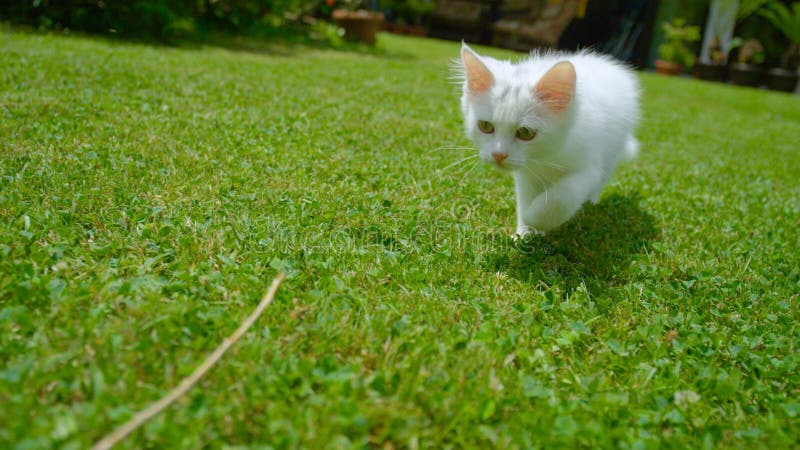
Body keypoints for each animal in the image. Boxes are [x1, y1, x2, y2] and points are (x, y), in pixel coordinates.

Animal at [460, 43, 640, 236]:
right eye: (485, 126)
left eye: (525, 132)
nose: (498, 155)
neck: (546, 157)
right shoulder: (526, 175)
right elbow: (525, 199)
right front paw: (524, 232)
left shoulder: (590, 169)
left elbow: (562, 197)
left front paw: (535, 218)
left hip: (611, 153)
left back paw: (592, 202)